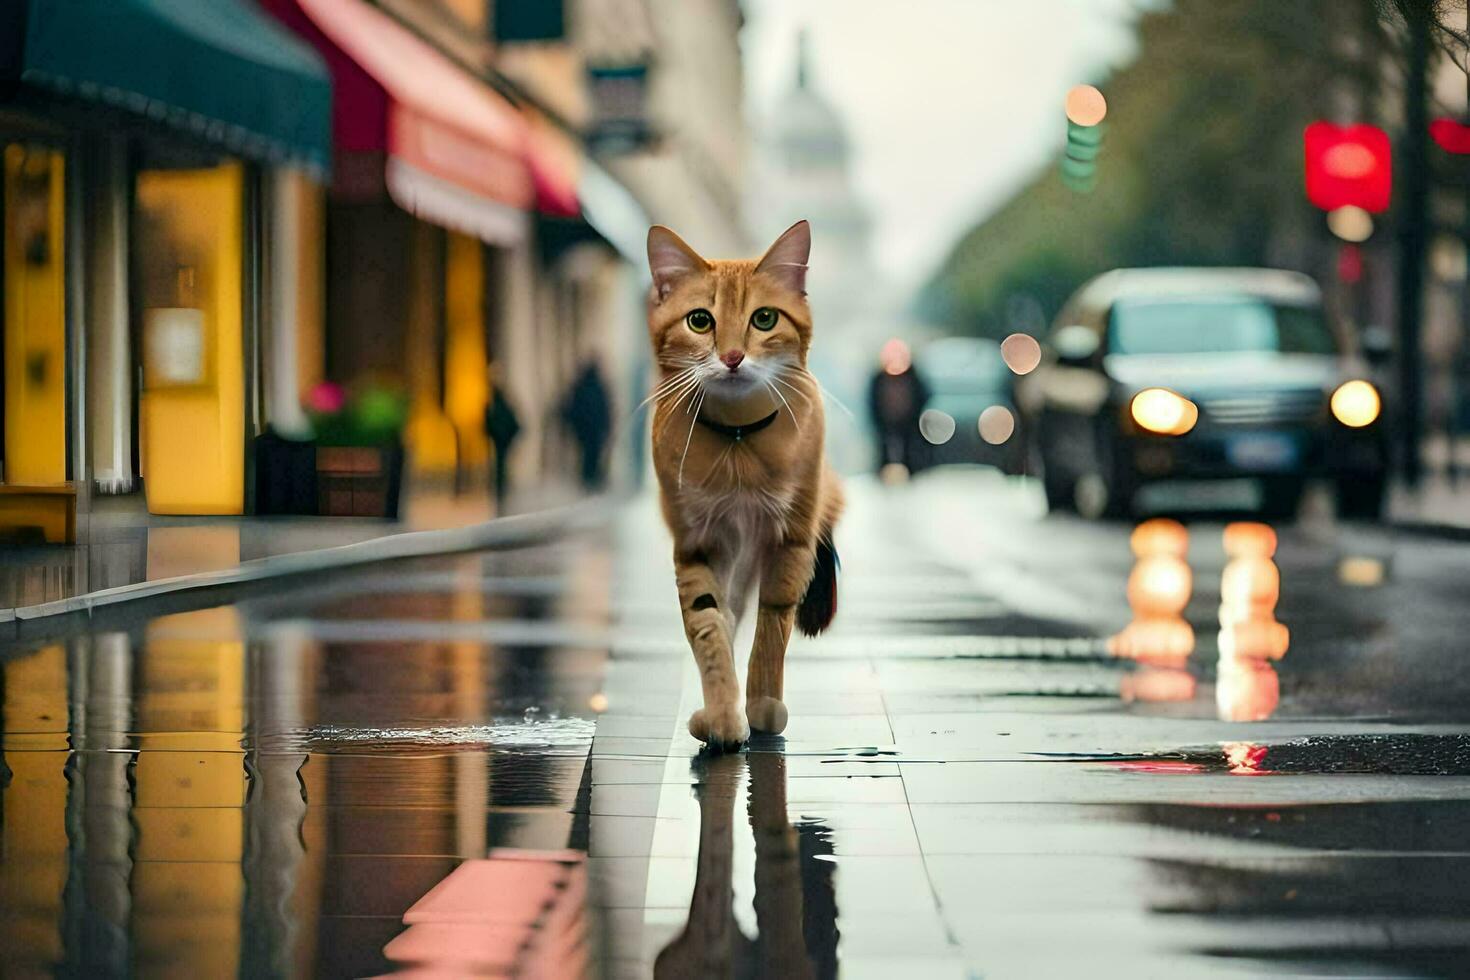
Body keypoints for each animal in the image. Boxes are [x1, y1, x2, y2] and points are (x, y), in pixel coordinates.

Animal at [640, 218, 840, 746]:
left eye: (765, 319)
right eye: (700, 321)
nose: (731, 356)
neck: (737, 439)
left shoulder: (789, 542)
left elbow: (772, 627)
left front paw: (762, 704)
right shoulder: (696, 542)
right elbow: (708, 626)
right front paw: (724, 714)